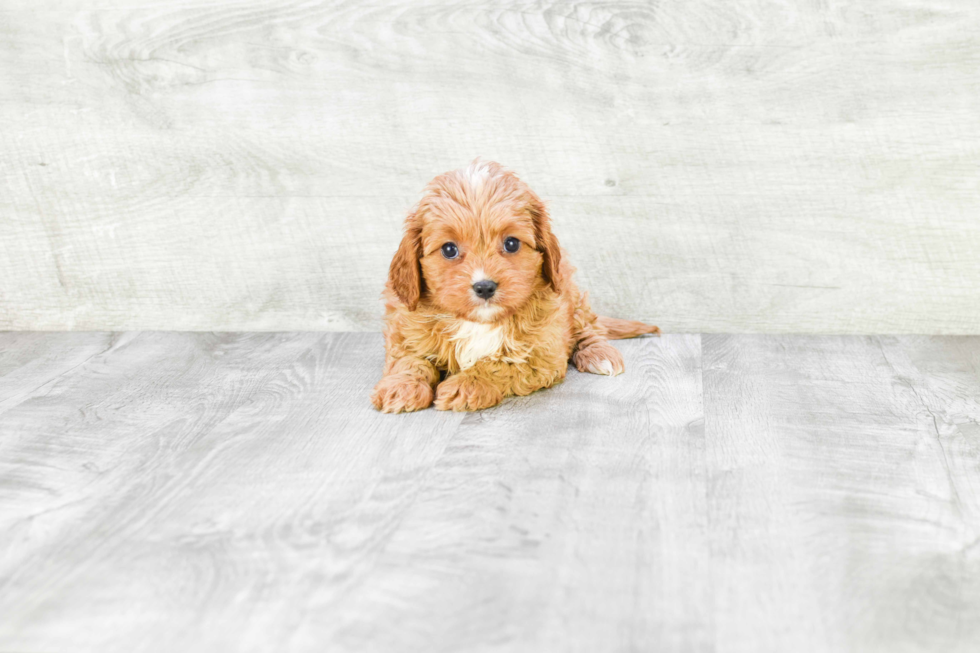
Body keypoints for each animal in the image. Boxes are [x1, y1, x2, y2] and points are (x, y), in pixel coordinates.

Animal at [372, 159, 664, 412]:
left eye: (511, 243)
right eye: (449, 249)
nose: (485, 287)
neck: (478, 323)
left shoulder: (541, 354)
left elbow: (500, 364)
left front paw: (467, 384)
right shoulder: (406, 334)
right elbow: (409, 361)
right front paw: (401, 387)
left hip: (573, 298)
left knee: (589, 329)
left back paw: (599, 354)